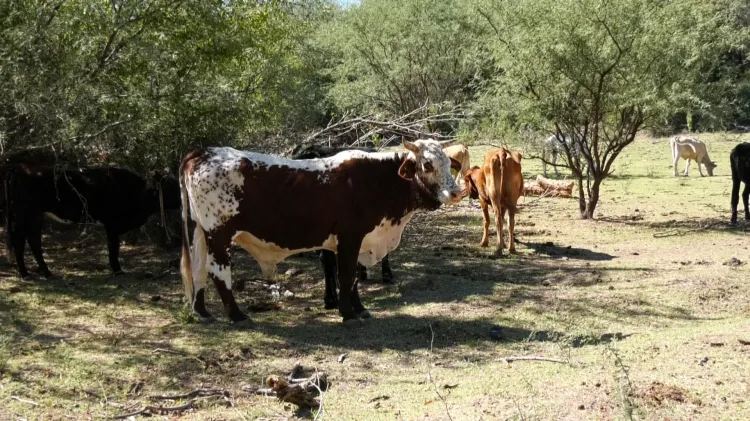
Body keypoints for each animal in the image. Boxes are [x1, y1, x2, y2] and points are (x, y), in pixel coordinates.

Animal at [5, 166, 181, 278]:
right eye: (170, 186)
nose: (182, 198)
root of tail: (19, 169)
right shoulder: (111, 224)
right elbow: (113, 248)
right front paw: (117, 270)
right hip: (24, 215)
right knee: (19, 240)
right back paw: (25, 274)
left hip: (35, 216)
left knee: (33, 240)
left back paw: (47, 273)